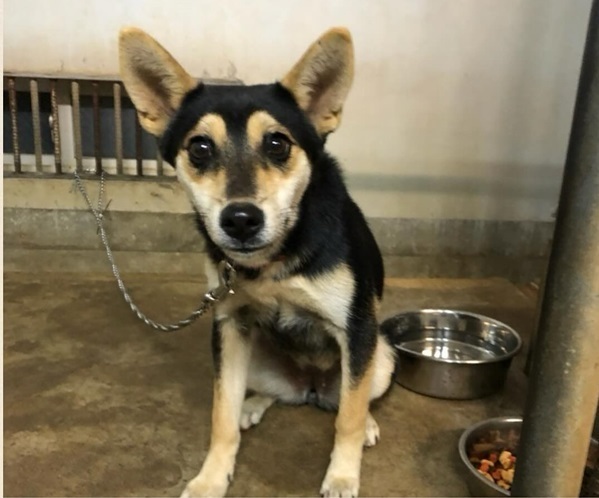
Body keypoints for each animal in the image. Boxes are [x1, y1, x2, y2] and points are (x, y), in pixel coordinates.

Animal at [118, 26, 396, 498]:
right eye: (200, 147)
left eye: (277, 143)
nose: (241, 220)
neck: (274, 260)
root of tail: (312, 388)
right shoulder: (230, 326)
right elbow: (221, 416)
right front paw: (212, 477)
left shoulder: (356, 329)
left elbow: (349, 418)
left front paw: (342, 476)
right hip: (257, 363)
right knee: (275, 395)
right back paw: (253, 405)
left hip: (382, 355)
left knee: (353, 399)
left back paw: (369, 423)